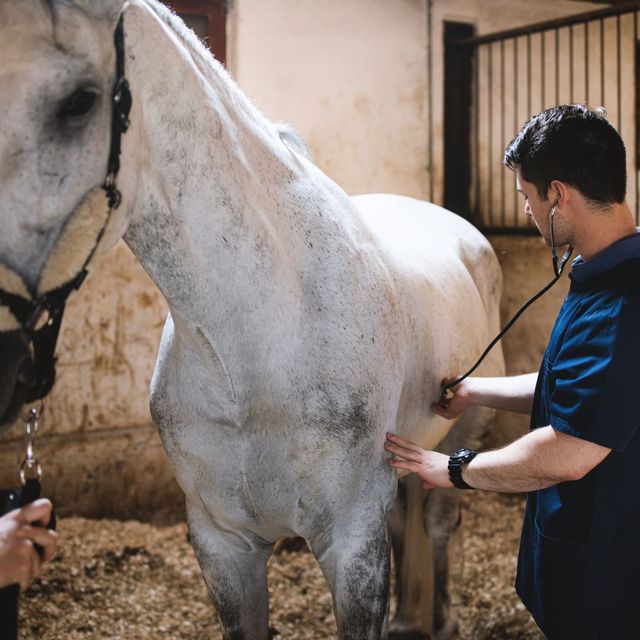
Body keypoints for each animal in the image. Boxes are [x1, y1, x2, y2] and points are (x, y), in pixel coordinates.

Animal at [0, 2, 502, 636]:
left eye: (79, 101)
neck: (254, 346)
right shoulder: (223, 545)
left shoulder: (352, 543)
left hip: (463, 432)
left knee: (437, 521)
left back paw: (440, 620)